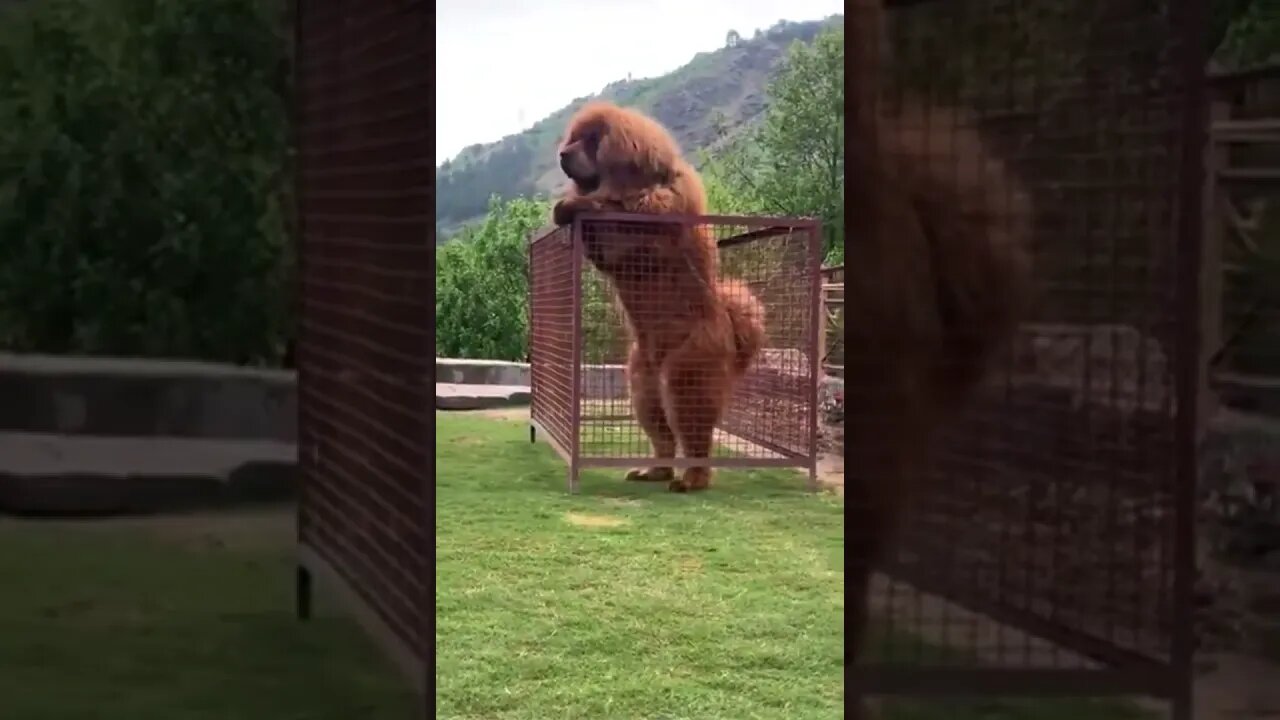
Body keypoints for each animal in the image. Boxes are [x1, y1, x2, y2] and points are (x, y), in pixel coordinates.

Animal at [547, 102, 757, 491]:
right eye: (574, 138)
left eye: (593, 140)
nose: (563, 153)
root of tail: (729, 326)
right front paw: (566, 207)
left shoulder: (651, 217)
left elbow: (614, 209)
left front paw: (576, 203)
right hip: (642, 379)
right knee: (662, 434)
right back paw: (654, 470)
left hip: (686, 370)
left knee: (694, 432)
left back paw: (692, 479)